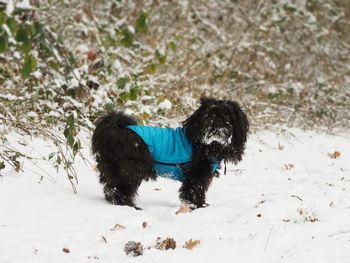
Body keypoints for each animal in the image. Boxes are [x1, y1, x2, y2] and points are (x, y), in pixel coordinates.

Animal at [91, 98, 249, 210]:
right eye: (208, 116)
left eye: (226, 117)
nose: (215, 126)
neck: (206, 145)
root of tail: (115, 131)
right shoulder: (196, 176)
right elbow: (193, 192)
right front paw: (197, 207)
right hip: (131, 170)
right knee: (119, 190)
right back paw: (130, 207)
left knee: (110, 188)